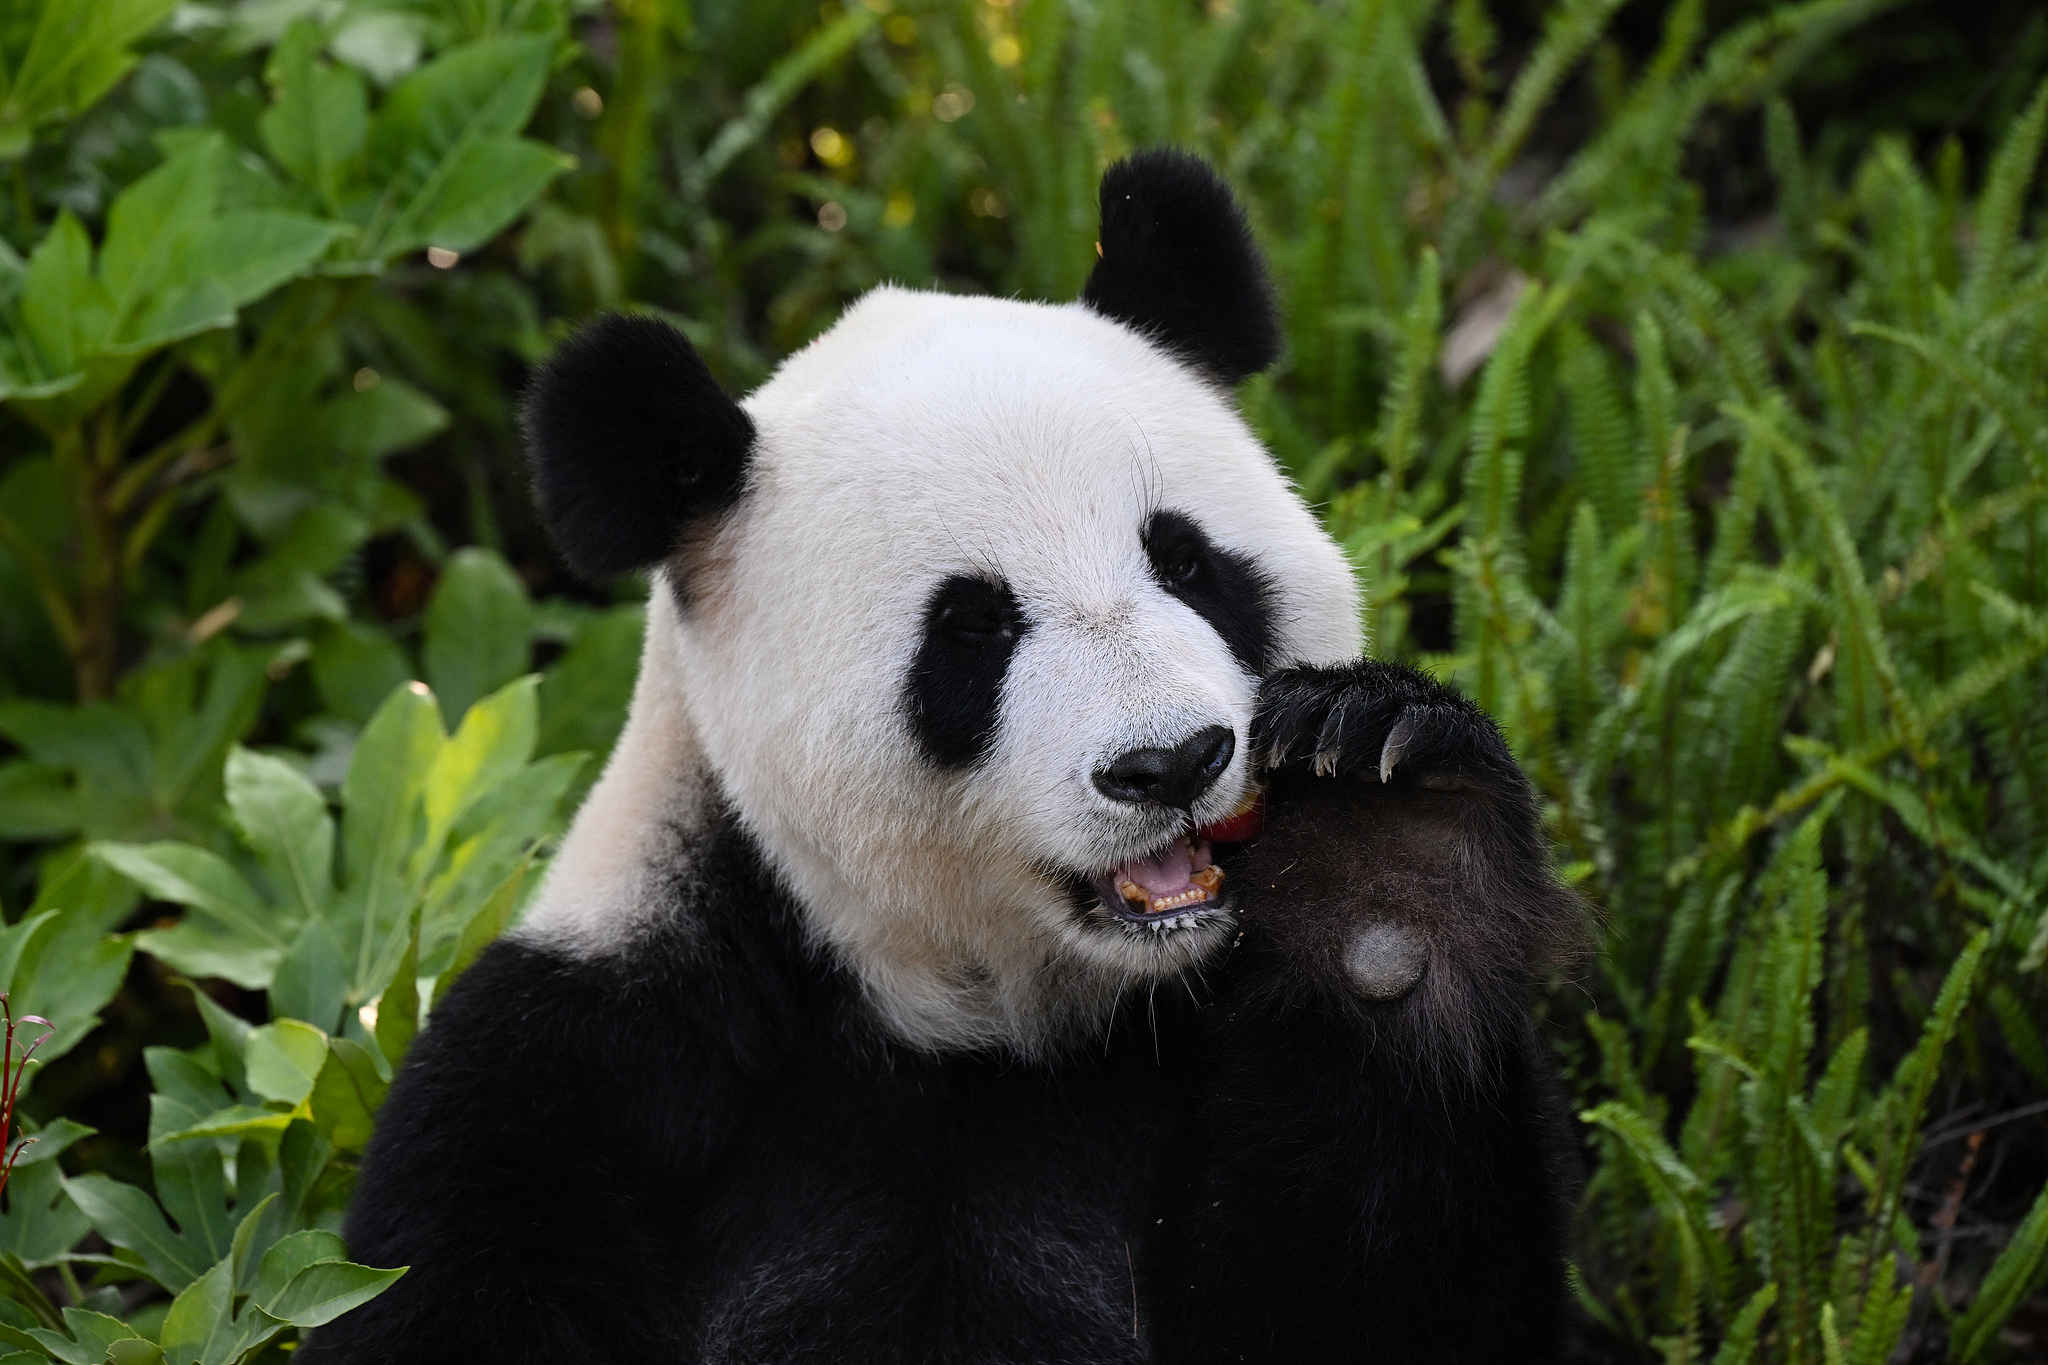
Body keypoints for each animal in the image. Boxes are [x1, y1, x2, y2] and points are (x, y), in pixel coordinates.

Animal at [304, 151, 1580, 1365]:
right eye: (970, 631)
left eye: (1185, 562)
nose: (1170, 763)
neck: (974, 1021)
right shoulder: (567, 1073)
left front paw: (1383, 850)